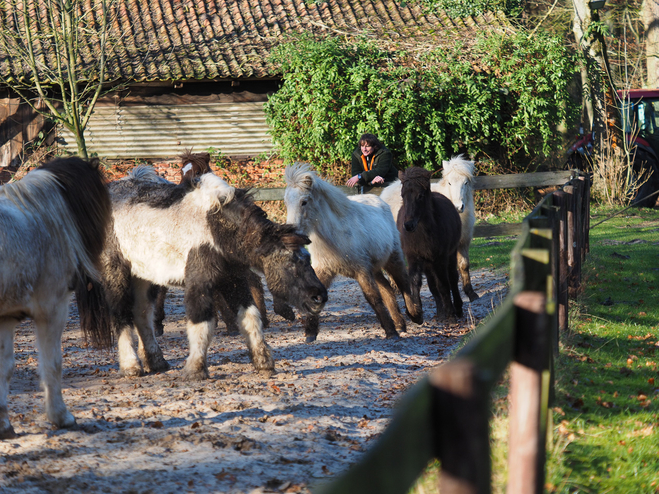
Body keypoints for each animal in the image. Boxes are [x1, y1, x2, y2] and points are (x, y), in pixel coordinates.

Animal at [0, 156, 111, 438]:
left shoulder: (6, 319)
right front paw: (61, 416)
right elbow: (53, 365)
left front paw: (4, 424)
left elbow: (5, 368)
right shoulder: (52, 312)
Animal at [284, 164, 422, 342]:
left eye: (304, 202)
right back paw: (400, 324)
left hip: (393, 259)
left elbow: (374, 298)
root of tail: (380, 200)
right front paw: (310, 333)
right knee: (388, 290)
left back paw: (415, 316)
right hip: (375, 269)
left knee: (403, 284)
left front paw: (390, 331)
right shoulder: (324, 270)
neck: (334, 236)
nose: (289, 237)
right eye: (287, 202)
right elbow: (315, 297)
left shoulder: (361, 271)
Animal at [382, 155, 480, 302]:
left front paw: (471, 293)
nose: (458, 207)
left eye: (466, 183)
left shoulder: (463, 242)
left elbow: (464, 265)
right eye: (450, 183)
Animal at [398, 168, 464, 322]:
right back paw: (440, 312)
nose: (408, 225)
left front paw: (450, 313)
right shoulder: (413, 257)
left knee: (452, 278)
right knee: (432, 284)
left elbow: (444, 284)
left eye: (420, 195)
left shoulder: (440, 258)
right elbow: (415, 281)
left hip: (449, 255)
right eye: (402, 195)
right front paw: (416, 313)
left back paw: (457, 308)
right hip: (428, 263)